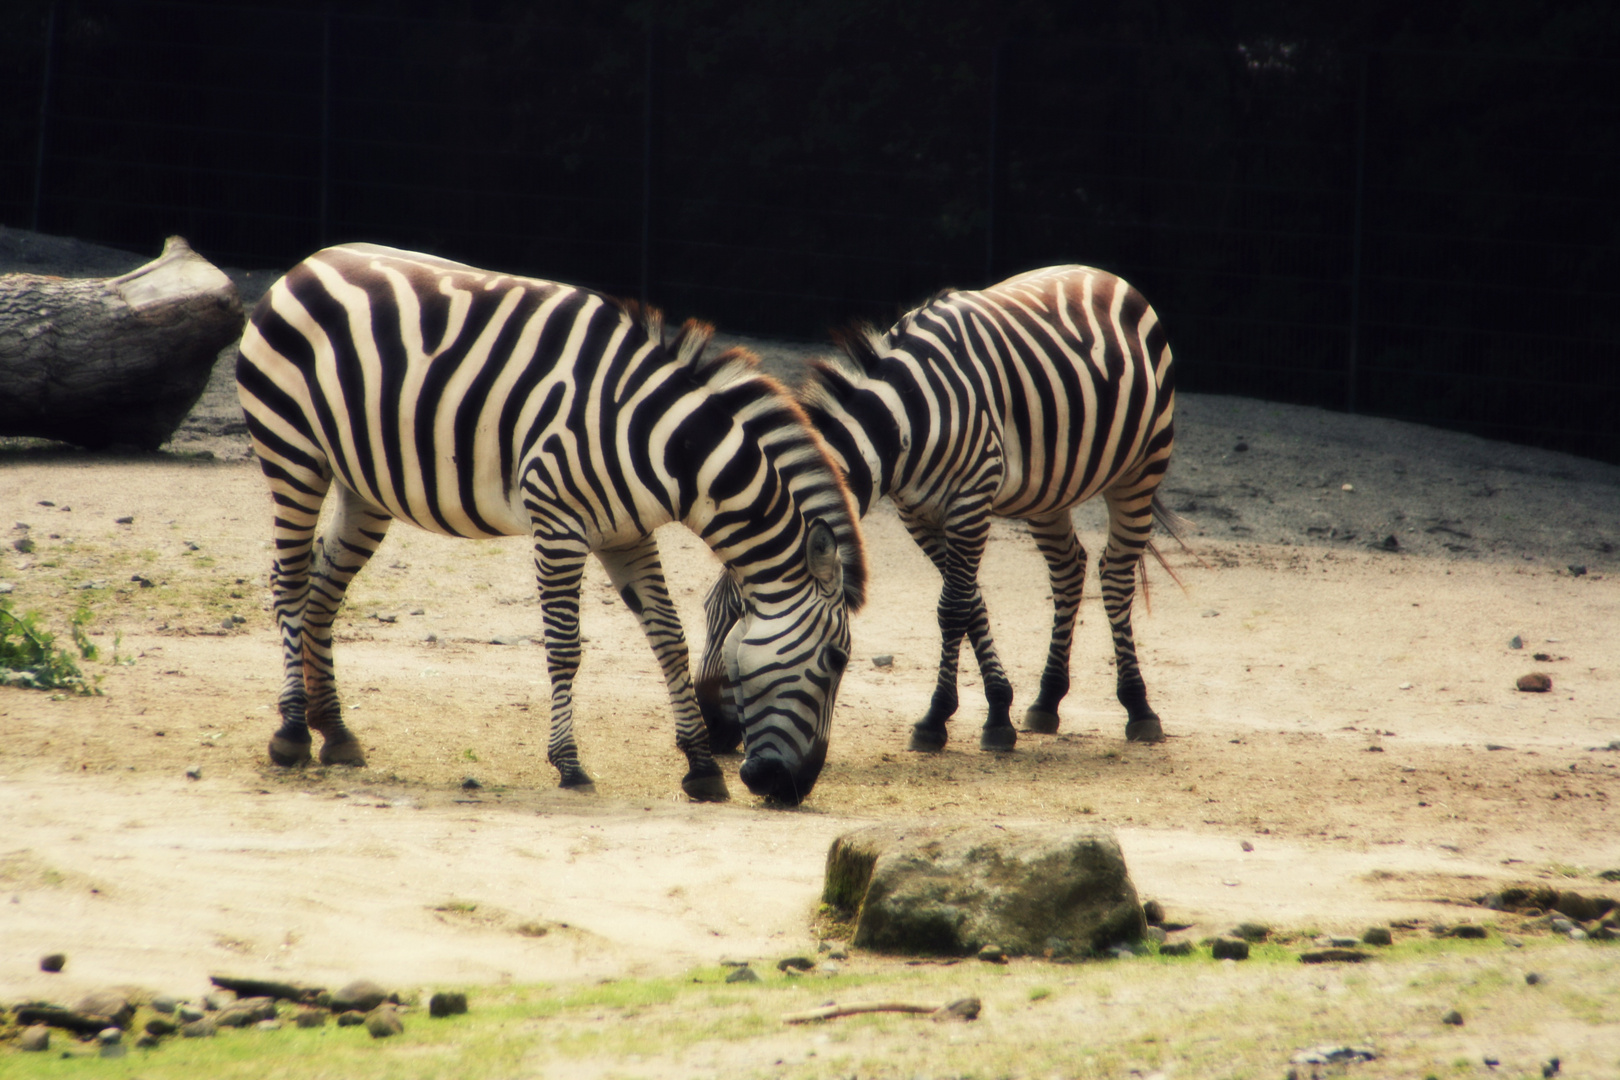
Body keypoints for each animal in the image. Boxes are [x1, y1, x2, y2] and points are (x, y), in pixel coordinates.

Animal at [236, 244, 868, 803]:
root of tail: (310, 261)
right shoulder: (559, 525)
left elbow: (669, 639)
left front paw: (701, 767)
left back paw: (335, 732)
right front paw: (569, 764)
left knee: (323, 593)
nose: (791, 791)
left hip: (362, 486)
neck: (666, 443)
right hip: (294, 454)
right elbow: (565, 648)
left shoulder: (628, 534)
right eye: (836, 660)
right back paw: (292, 732)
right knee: (290, 583)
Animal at [696, 263, 1179, 751]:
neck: (905, 419)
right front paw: (998, 710)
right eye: (707, 613)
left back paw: (1139, 707)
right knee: (1068, 569)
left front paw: (937, 718)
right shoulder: (918, 513)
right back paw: (1047, 700)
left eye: (742, 616)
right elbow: (971, 603)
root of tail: (1097, 272)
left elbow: (953, 609)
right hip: (1049, 491)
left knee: (1115, 575)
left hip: (1142, 465)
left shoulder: (971, 499)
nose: (711, 728)